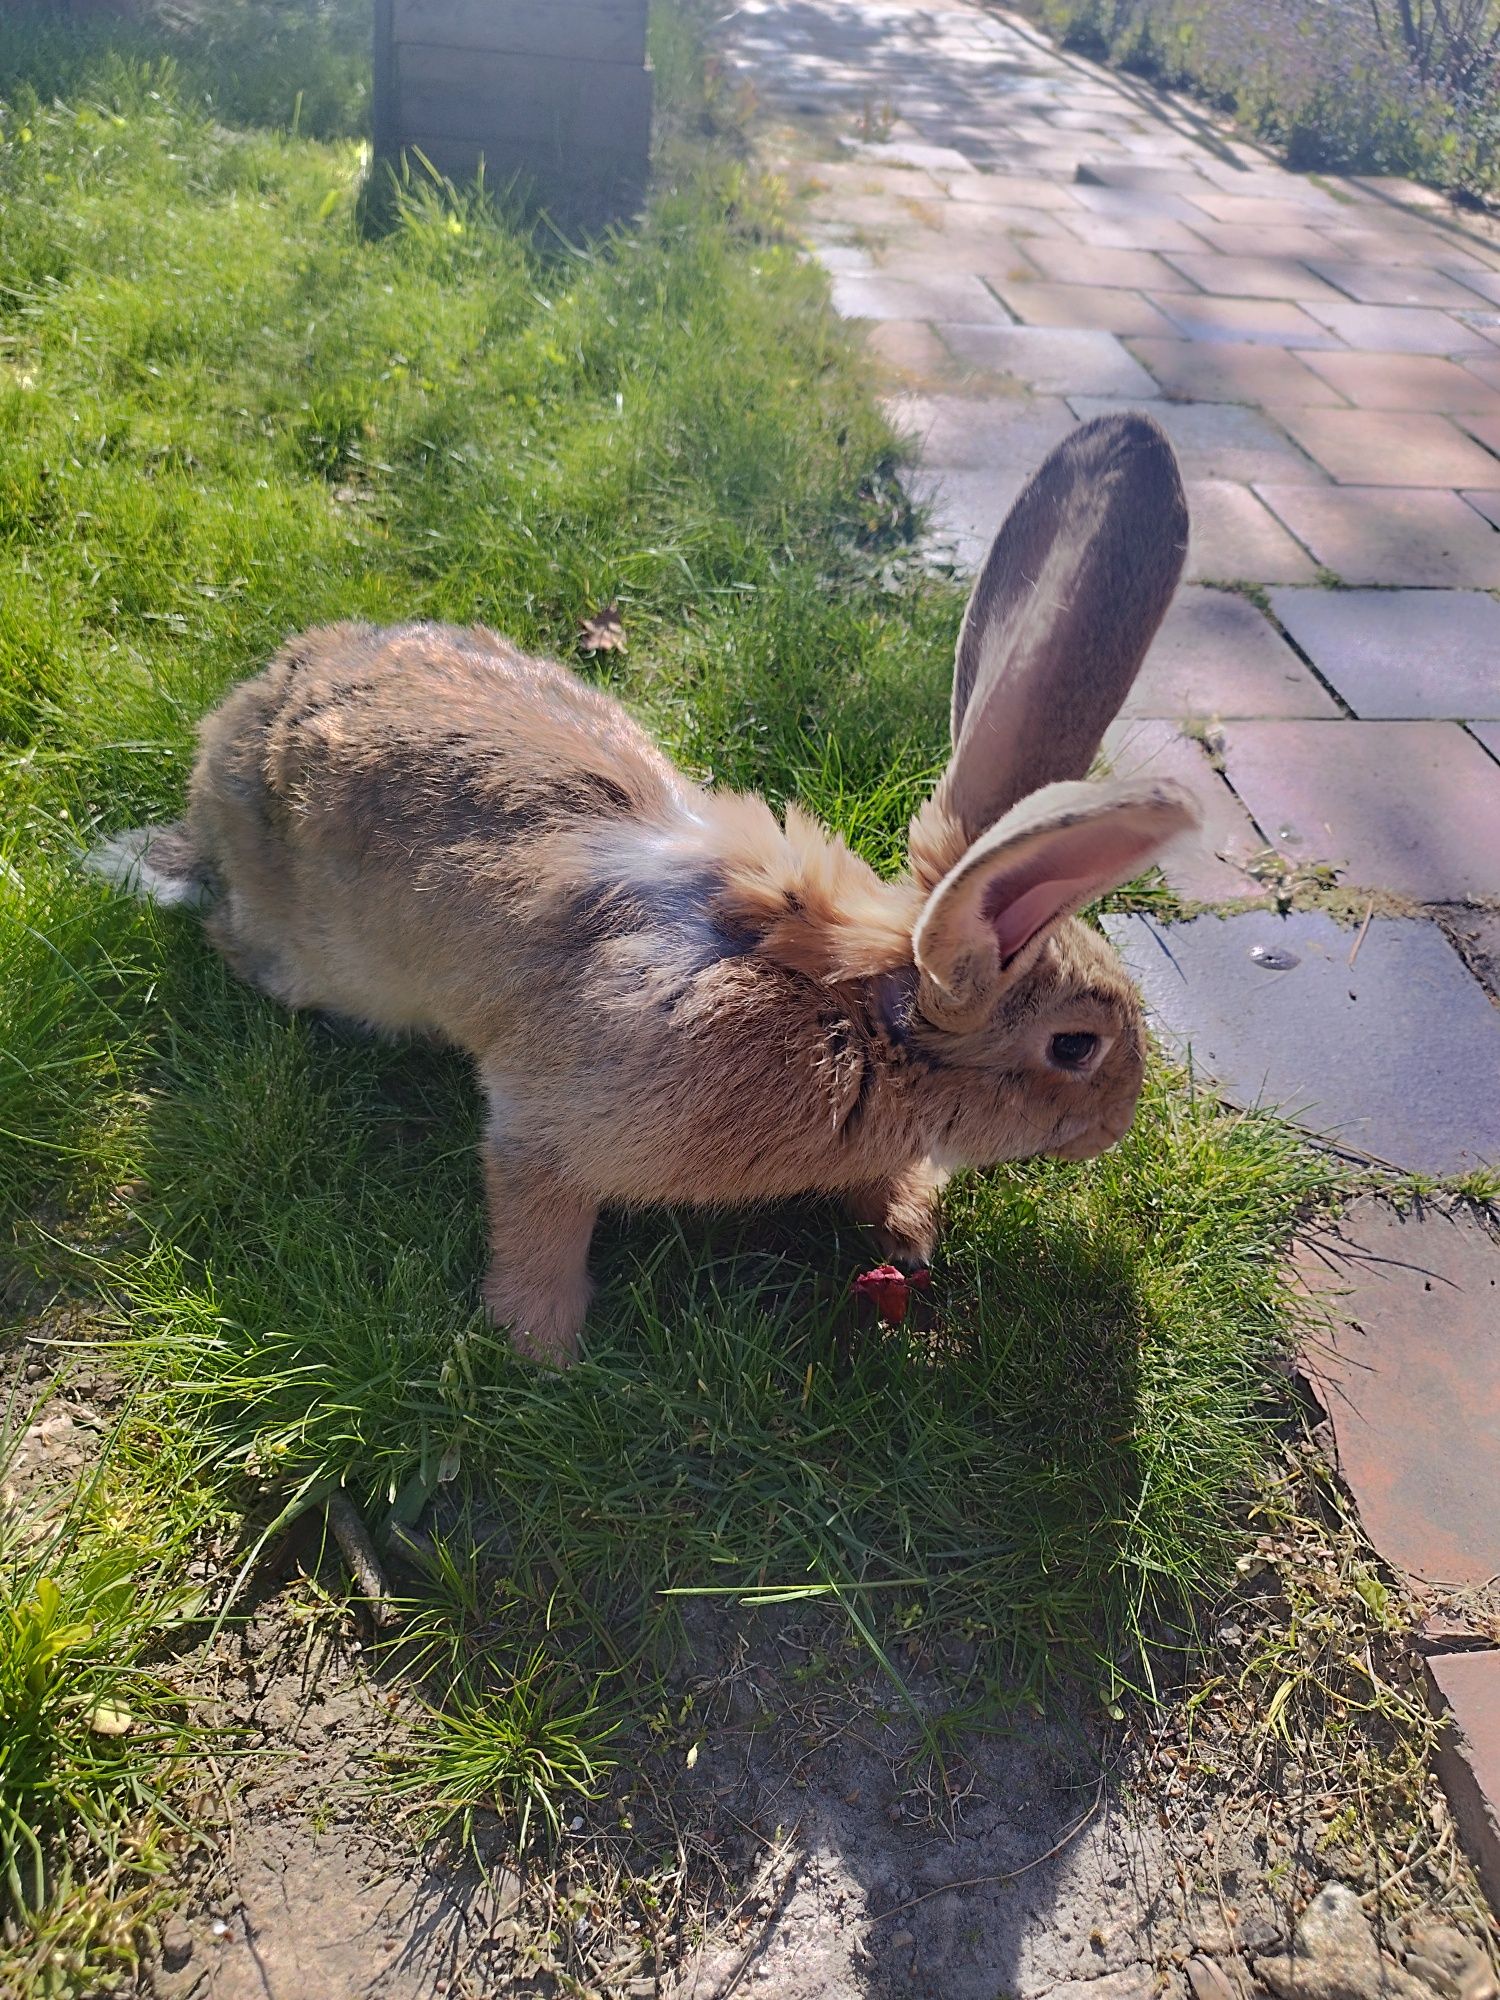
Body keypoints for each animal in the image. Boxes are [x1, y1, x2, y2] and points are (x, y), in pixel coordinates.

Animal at [91, 414, 1200, 1368]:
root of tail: (218, 764)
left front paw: (907, 1228)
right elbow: (535, 1208)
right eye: (1074, 1046)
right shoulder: (547, 1124)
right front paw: (538, 1344)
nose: (1118, 1125)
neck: (849, 1012)